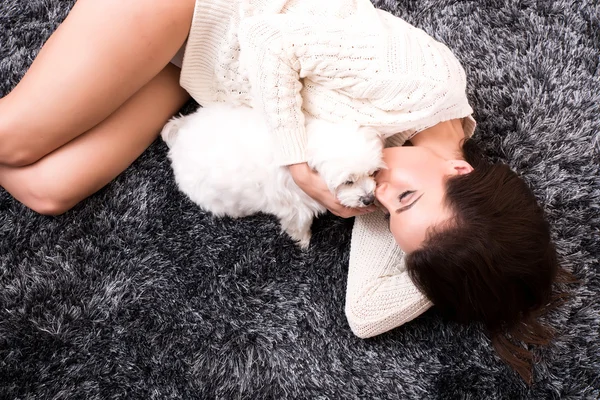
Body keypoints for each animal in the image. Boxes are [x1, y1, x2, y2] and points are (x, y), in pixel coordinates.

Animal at [161, 103, 384, 247]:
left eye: (372, 172)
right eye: (348, 182)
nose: (368, 198)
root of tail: (180, 132)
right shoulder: (295, 208)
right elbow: (298, 225)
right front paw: (304, 241)